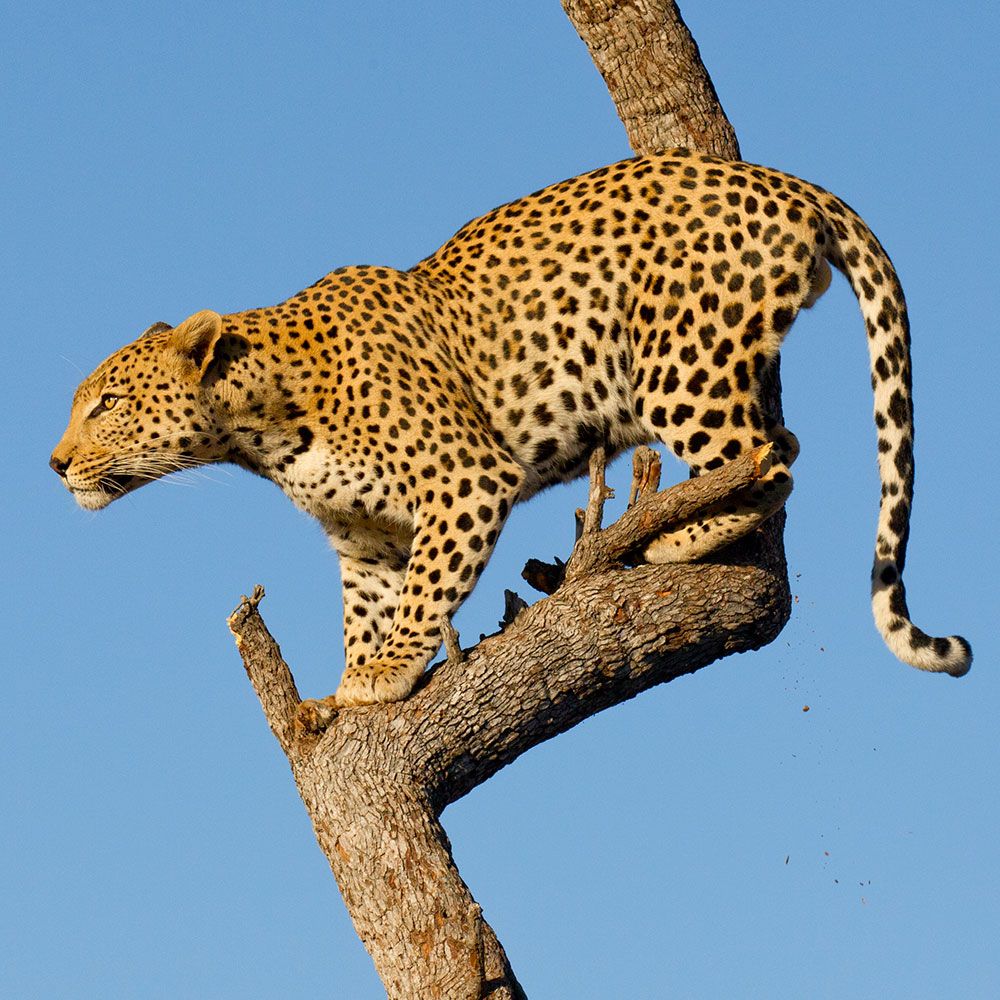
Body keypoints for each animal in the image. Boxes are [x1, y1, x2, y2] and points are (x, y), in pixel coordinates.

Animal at [52, 146, 968, 720]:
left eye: (105, 403)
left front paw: (384, 674)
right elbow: (370, 609)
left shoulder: (464, 481)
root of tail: (787, 183)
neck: (258, 432)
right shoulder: (363, 540)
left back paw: (670, 538)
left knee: (771, 462)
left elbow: (426, 594)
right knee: (782, 448)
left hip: (678, 366)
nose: (55, 463)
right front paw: (346, 688)